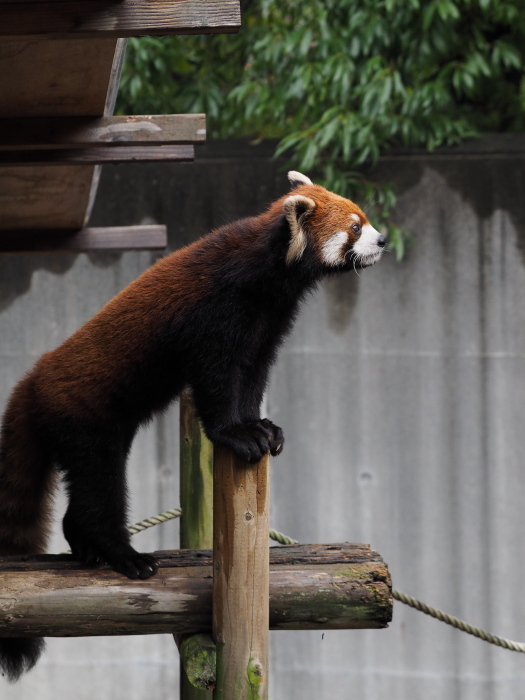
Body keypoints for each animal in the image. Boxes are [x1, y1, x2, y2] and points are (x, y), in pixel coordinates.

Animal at [0, 170, 382, 680]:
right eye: (356, 228)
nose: (383, 240)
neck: (268, 271)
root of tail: (30, 386)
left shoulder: (269, 322)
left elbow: (252, 375)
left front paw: (261, 425)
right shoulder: (217, 312)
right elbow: (216, 380)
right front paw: (236, 434)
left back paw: (85, 546)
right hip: (86, 424)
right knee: (101, 487)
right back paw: (121, 554)